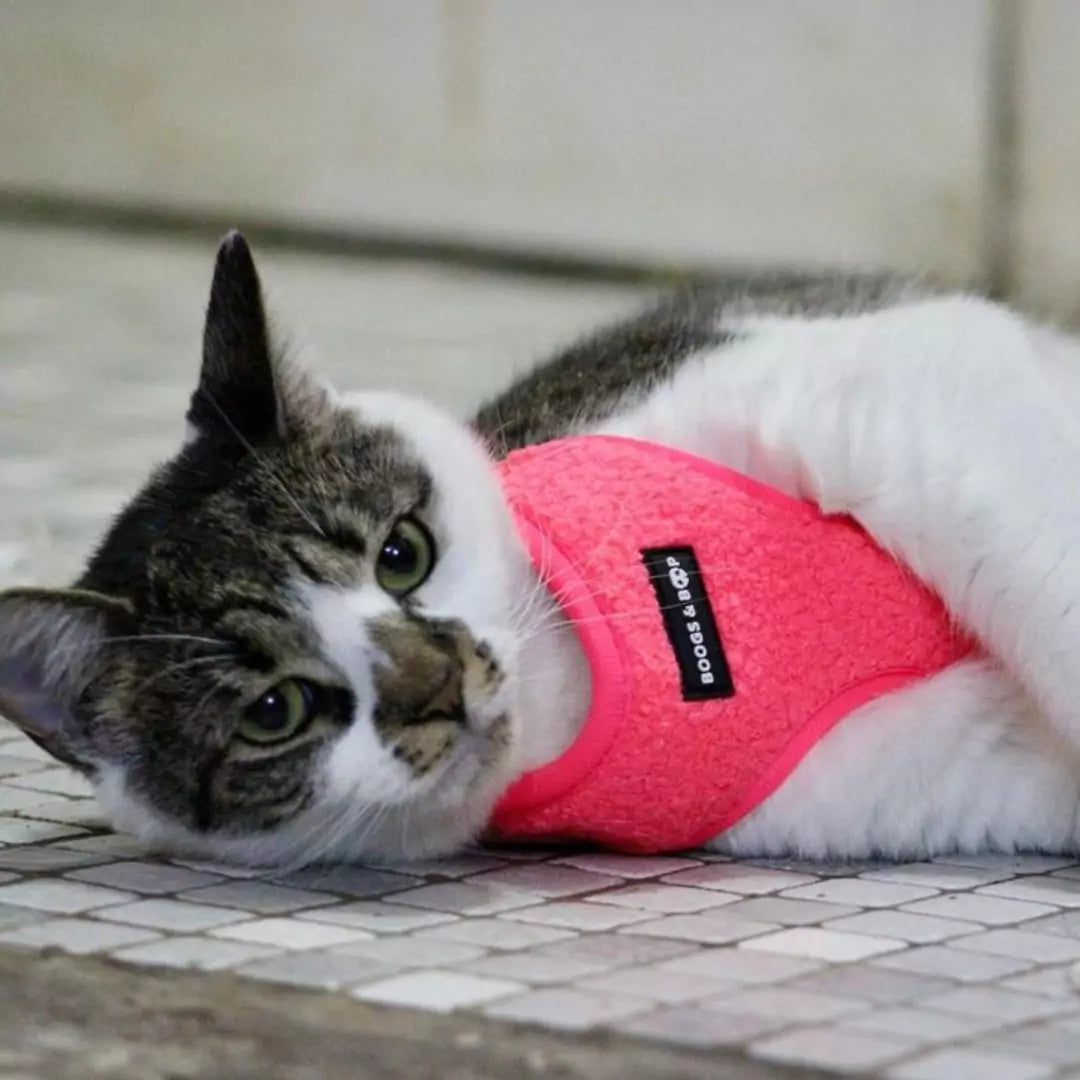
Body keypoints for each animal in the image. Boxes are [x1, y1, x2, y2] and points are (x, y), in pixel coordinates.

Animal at [2, 230, 1080, 868]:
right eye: (276, 712)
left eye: (402, 554)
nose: (438, 680)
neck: (589, 683)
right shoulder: (920, 775)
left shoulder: (883, 391)